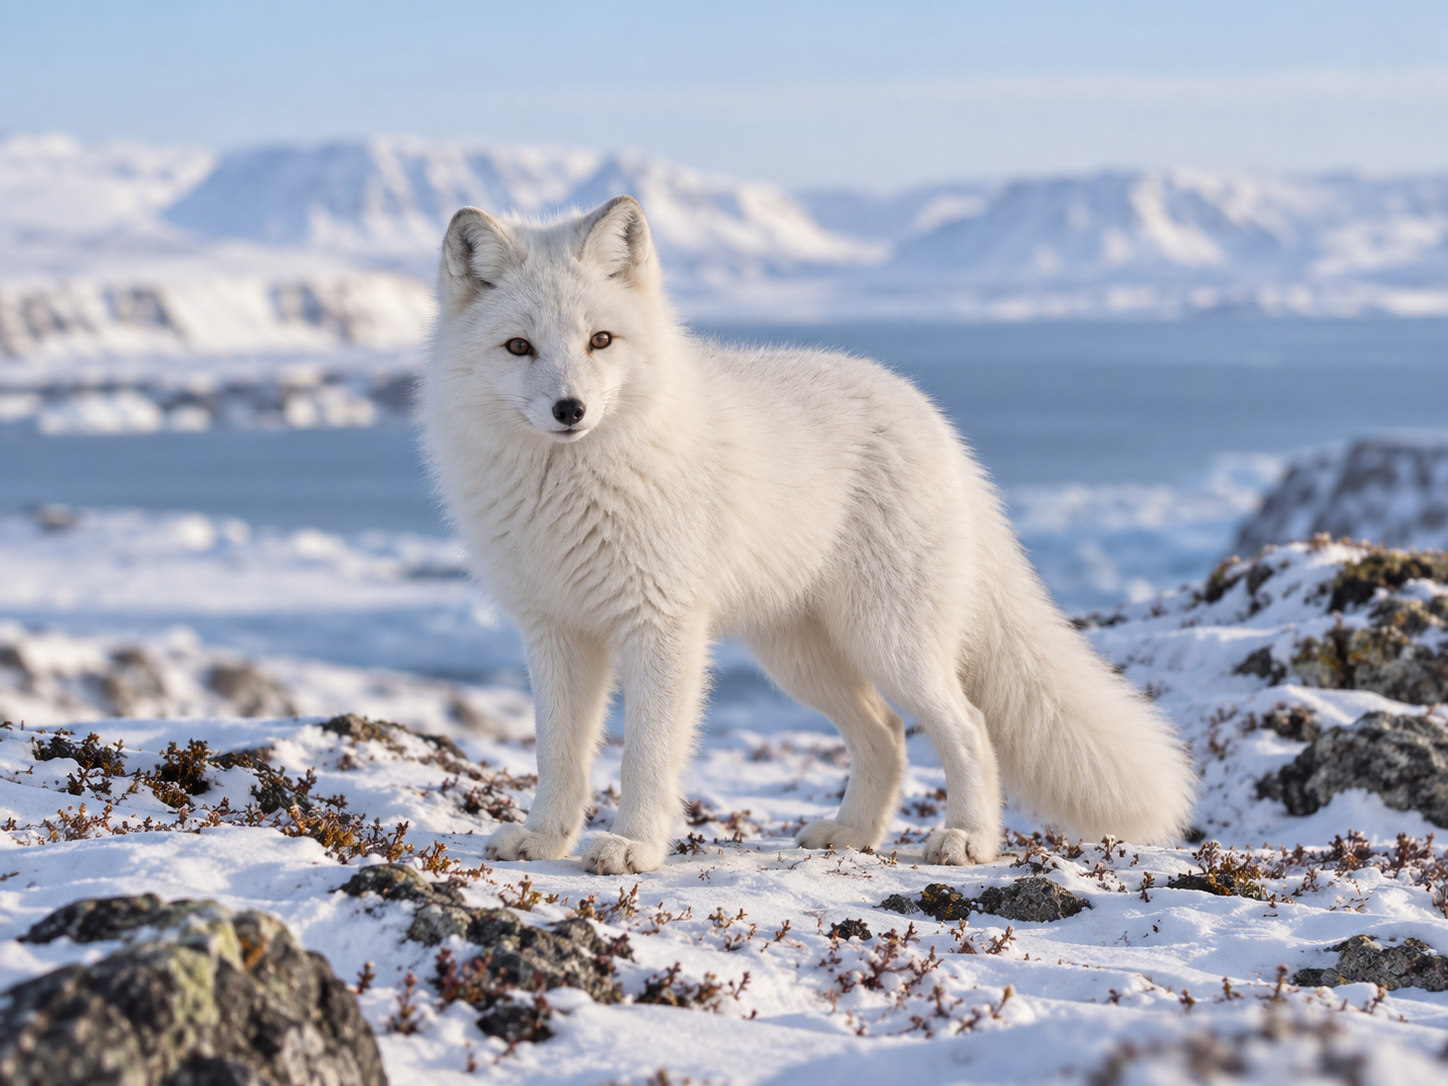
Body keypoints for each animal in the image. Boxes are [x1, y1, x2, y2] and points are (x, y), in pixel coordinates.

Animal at [421, 195, 1197, 876]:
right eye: (519, 347)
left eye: (600, 340)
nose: (570, 409)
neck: (569, 488)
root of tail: (934, 420)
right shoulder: (553, 631)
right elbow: (558, 753)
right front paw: (544, 838)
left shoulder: (661, 626)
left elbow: (646, 754)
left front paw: (634, 846)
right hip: (801, 658)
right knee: (887, 733)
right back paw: (854, 833)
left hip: (890, 641)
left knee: (968, 725)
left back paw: (968, 839)